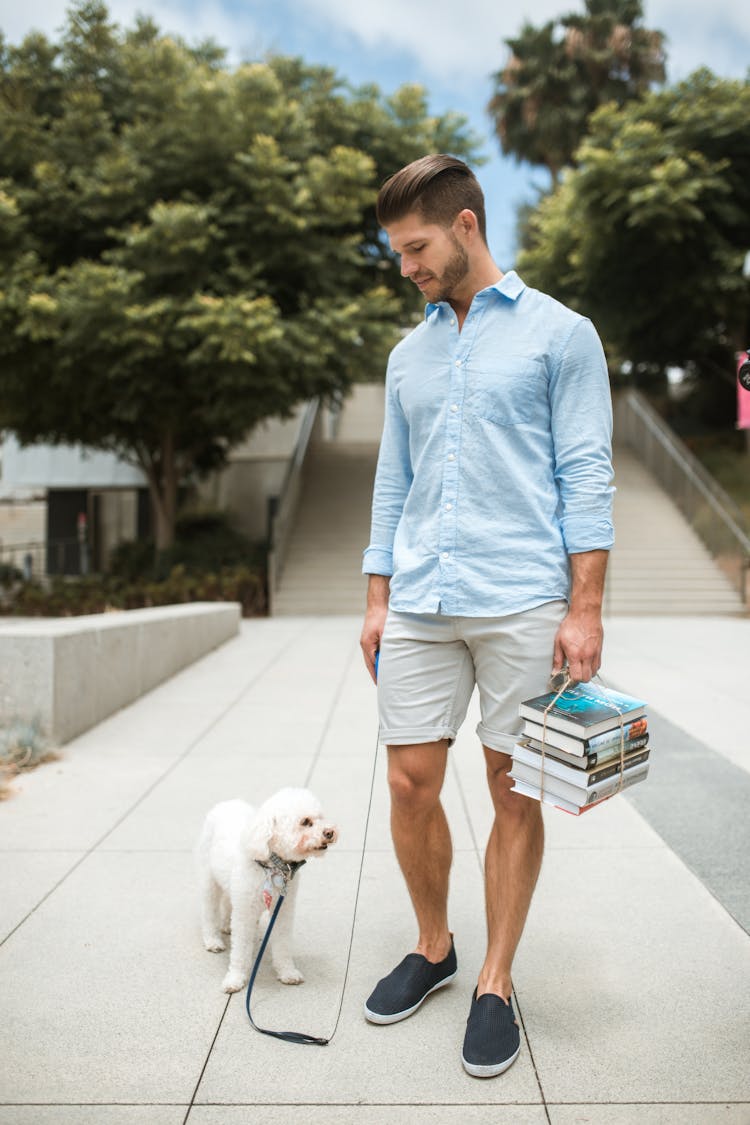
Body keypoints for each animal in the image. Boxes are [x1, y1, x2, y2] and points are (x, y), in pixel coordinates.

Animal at [199, 792, 339, 994]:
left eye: (321, 817)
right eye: (305, 822)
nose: (330, 832)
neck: (272, 866)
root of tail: (226, 804)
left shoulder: (283, 910)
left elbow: (282, 944)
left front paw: (287, 972)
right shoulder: (245, 913)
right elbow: (240, 950)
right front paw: (235, 978)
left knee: (228, 902)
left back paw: (226, 925)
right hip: (208, 879)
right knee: (209, 910)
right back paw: (212, 940)